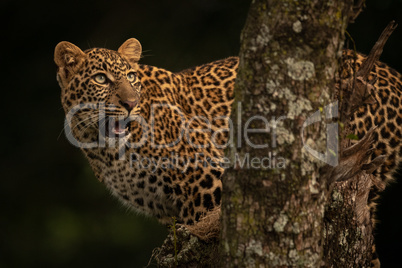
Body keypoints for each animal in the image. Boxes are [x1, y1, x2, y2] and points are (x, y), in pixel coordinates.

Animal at [55, 38, 402, 266]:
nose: (130, 104)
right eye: (101, 79)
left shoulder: (206, 181)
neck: (105, 149)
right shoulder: (168, 209)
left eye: (131, 78)